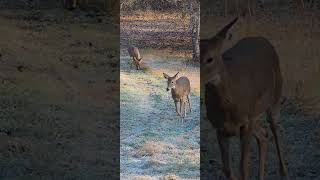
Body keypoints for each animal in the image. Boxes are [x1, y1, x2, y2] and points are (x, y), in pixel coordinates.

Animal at [201, 17, 288, 180]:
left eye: (210, 58)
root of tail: (263, 39)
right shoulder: (220, 127)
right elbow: (227, 169)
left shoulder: (246, 123)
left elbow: (243, 168)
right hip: (254, 114)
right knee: (264, 135)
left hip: (274, 98)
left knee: (275, 130)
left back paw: (284, 172)